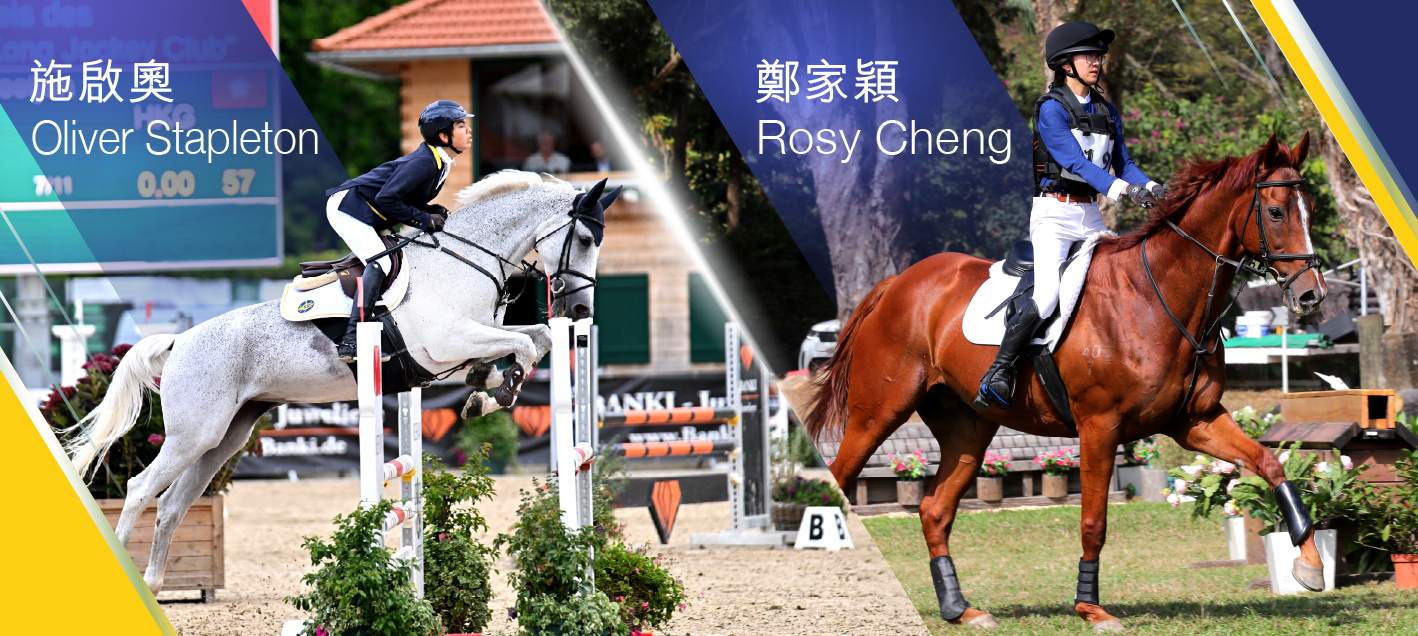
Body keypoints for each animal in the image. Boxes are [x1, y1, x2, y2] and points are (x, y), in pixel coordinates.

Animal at [66, 170, 616, 594]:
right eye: (587, 240)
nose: (581, 312)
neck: (467, 262)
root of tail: (181, 341)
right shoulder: (447, 342)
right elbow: (524, 344)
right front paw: (498, 391)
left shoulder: (463, 348)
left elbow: (534, 339)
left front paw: (487, 388)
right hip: (193, 434)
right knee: (140, 490)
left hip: (224, 438)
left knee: (173, 504)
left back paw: (156, 586)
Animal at [804, 134, 1329, 631]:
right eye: (1277, 211)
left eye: (1311, 207)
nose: (1311, 295)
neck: (1159, 297)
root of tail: (897, 283)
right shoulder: (1100, 427)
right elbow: (1093, 520)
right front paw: (1091, 609)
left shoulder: (1195, 421)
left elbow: (1268, 463)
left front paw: (1309, 563)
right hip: (879, 412)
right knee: (844, 477)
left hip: (968, 428)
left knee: (935, 510)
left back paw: (961, 610)